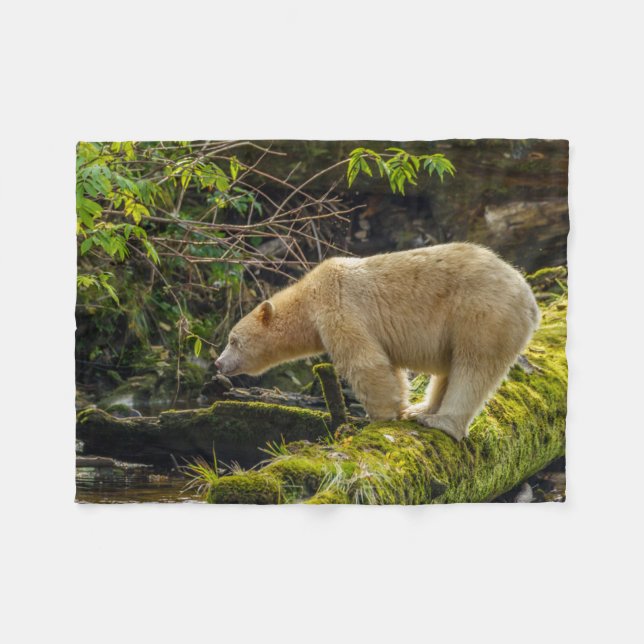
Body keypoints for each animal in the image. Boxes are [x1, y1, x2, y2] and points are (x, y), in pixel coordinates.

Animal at [215, 243, 540, 441]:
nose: (218, 363)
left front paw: (380, 419)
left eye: (233, 340)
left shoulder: (339, 307)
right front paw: (400, 408)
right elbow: (389, 366)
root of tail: (530, 299)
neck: (308, 296)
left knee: (474, 366)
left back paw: (441, 421)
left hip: (482, 313)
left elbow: (365, 362)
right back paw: (422, 409)